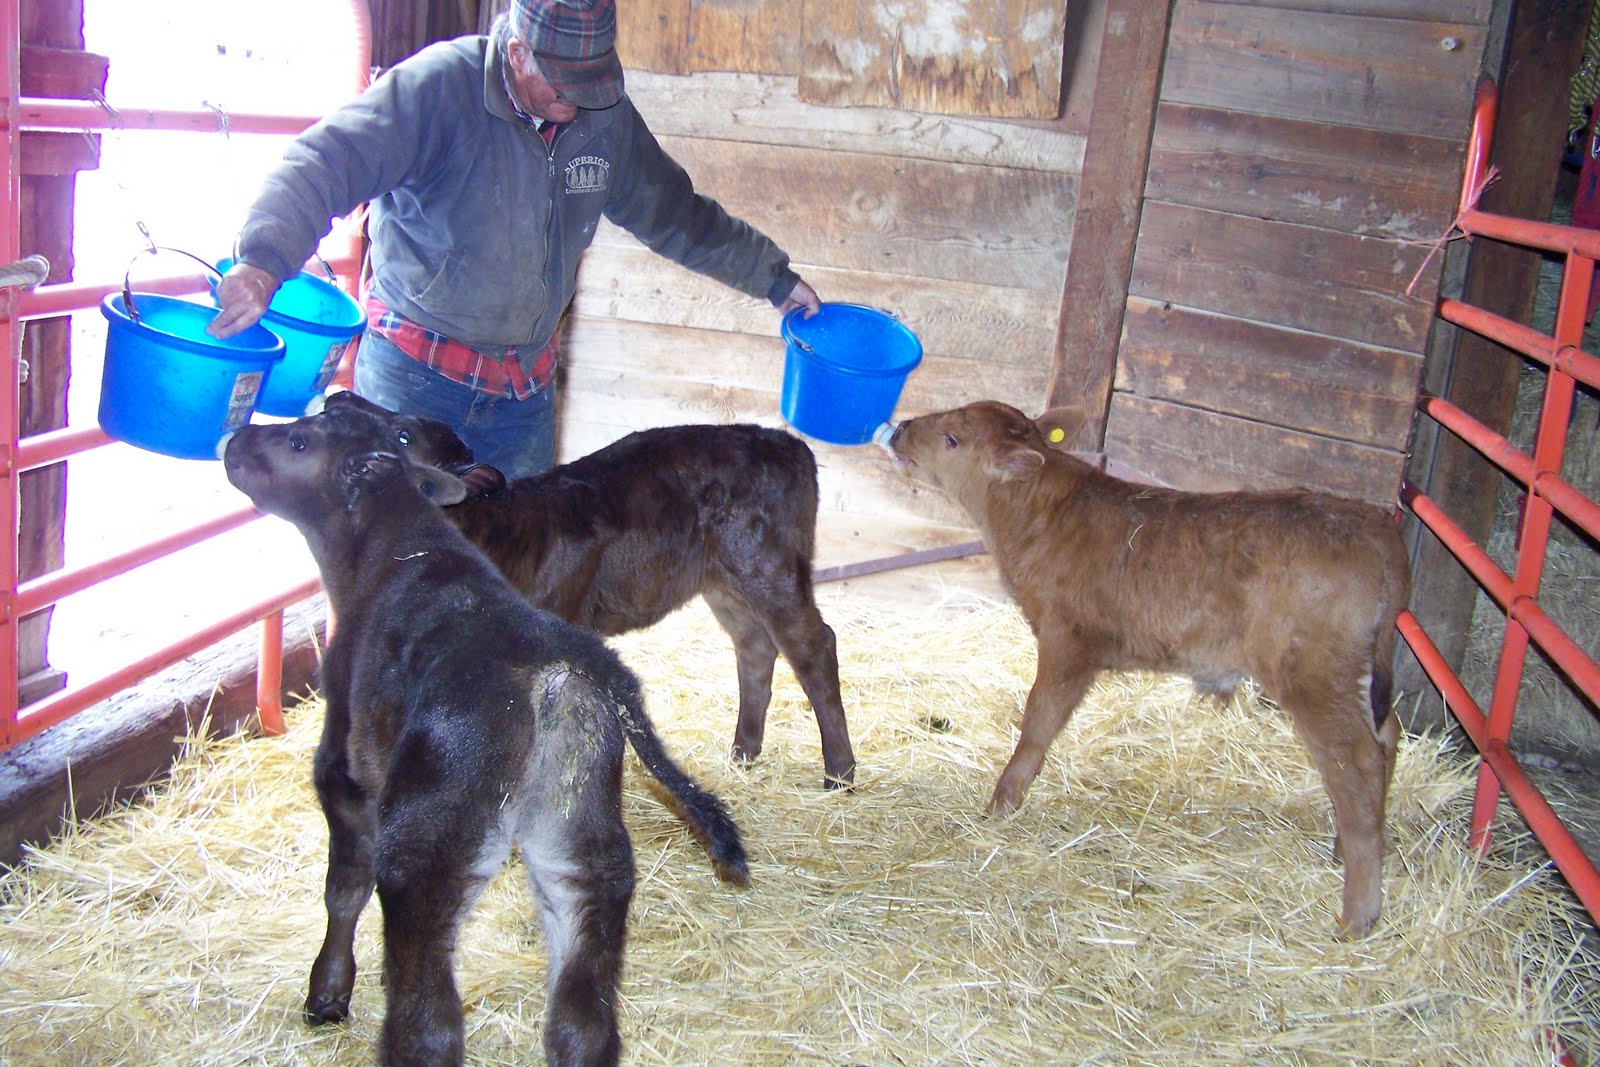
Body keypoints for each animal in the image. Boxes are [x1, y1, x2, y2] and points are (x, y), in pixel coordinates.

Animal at [223, 405, 748, 1066]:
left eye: (298, 439)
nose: (236, 439)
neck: (393, 548)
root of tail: (557, 667)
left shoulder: (341, 771)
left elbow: (343, 888)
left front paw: (327, 994)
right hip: (581, 845)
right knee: (583, 1017)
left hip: (425, 846)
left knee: (431, 1020)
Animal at [314, 390, 856, 789]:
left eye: (403, 434)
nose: (337, 398)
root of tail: (791, 446)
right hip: (723, 580)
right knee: (755, 646)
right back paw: (743, 752)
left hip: (766, 562)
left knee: (813, 644)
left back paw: (839, 771)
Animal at [884, 400, 1410, 938]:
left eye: (952, 438)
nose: (901, 429)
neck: (1042, 514)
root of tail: (1373, 524)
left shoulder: (1068, 640)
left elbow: (1038, 722)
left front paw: (1002, 801)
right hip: (1356, 671)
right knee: (1387, 734)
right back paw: (1348, 851)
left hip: (1314, 676)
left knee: (1357, 763)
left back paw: (1358, 912)